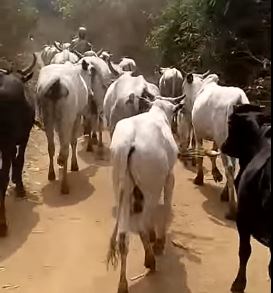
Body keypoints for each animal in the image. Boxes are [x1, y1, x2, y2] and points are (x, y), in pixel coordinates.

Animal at [35, 59, 90, 193]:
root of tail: (57, 83)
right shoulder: (77, 116)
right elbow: (73, 142)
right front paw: (74, 165)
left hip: (48, 119)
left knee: (51, 147)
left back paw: (51, 174)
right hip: (66, 118)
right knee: (65, 150)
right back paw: (65, 186)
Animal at [107, 96, 184, 292]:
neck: (158, 112)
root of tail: (128, 143)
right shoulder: (169, 176)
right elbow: (166, 206)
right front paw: (159, 240)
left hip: (121, 189)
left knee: (123, 237)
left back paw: (123, 284)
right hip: (152, 189)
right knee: (142, 224)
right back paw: (150, 259)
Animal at [181, 72, 249, 218]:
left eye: (183, 87)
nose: (182, 104)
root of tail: (239, 100)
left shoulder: (198, 132)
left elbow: (200, 154)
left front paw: (199, 178)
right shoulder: (216, 140)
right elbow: (212, 153)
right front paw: (216, 174)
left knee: (230, 168)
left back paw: (231, 208)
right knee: (236, 167)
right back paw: (225, 194)